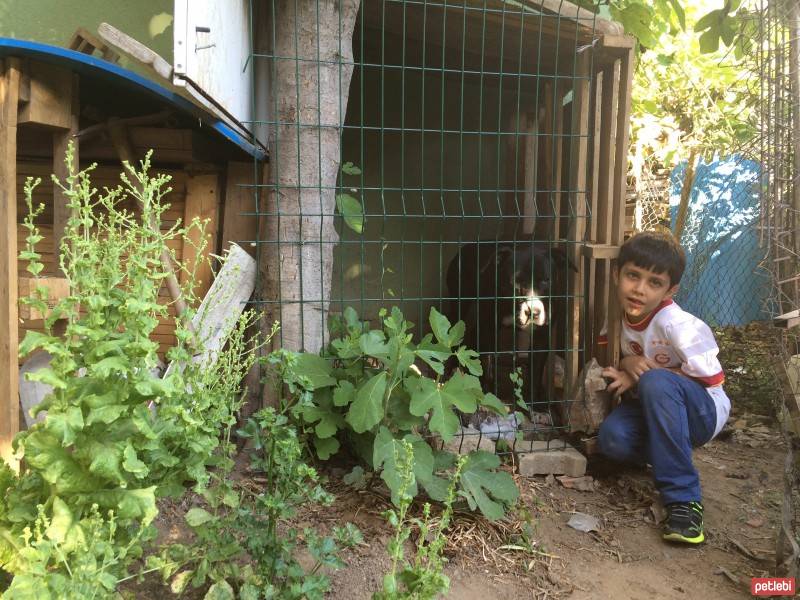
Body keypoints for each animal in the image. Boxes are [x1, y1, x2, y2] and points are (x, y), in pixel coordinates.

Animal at [444, 239, 576, 412]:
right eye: (516, 282)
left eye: (545, 280)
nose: (533, 312)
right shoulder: (488, 327)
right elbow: (486, 361)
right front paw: (485, 394)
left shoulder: (542, 336)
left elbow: (536, 369)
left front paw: (533, 402)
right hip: (459, 304)